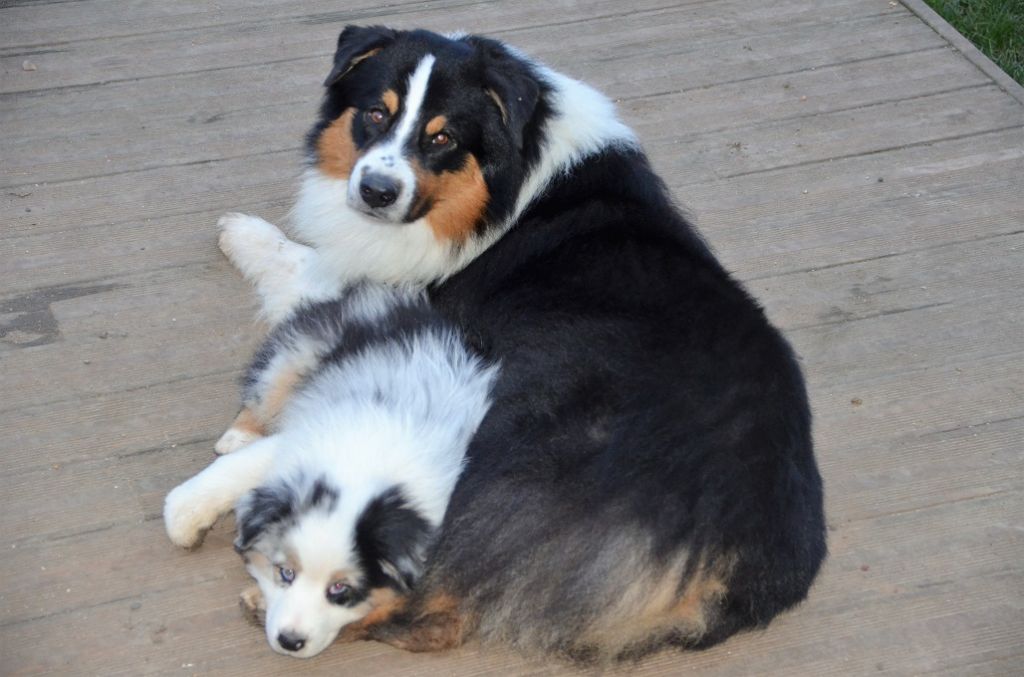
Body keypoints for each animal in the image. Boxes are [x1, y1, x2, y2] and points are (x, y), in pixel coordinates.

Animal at [163, 276, 497, 657]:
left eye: (340, 590)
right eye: (286, 573)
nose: (290, 642)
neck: (363, 470)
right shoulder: (299, 441)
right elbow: (234, 471)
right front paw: (182, 520)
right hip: (304, 350)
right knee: (264, 392)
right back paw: (238, 435)